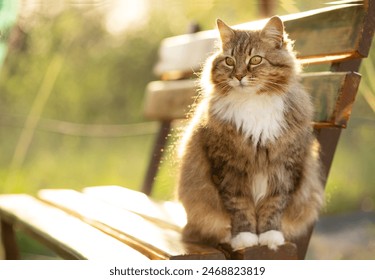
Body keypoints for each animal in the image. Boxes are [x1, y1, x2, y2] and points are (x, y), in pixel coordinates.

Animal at [178, 16, 324, 250]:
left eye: (255, 60)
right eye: (229, 61)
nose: (238, 76)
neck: (253, 102)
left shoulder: (284, 167)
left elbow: (273, 206)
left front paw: (269, 236)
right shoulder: (228, 168)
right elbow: (240, 207)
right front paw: (245, 237)